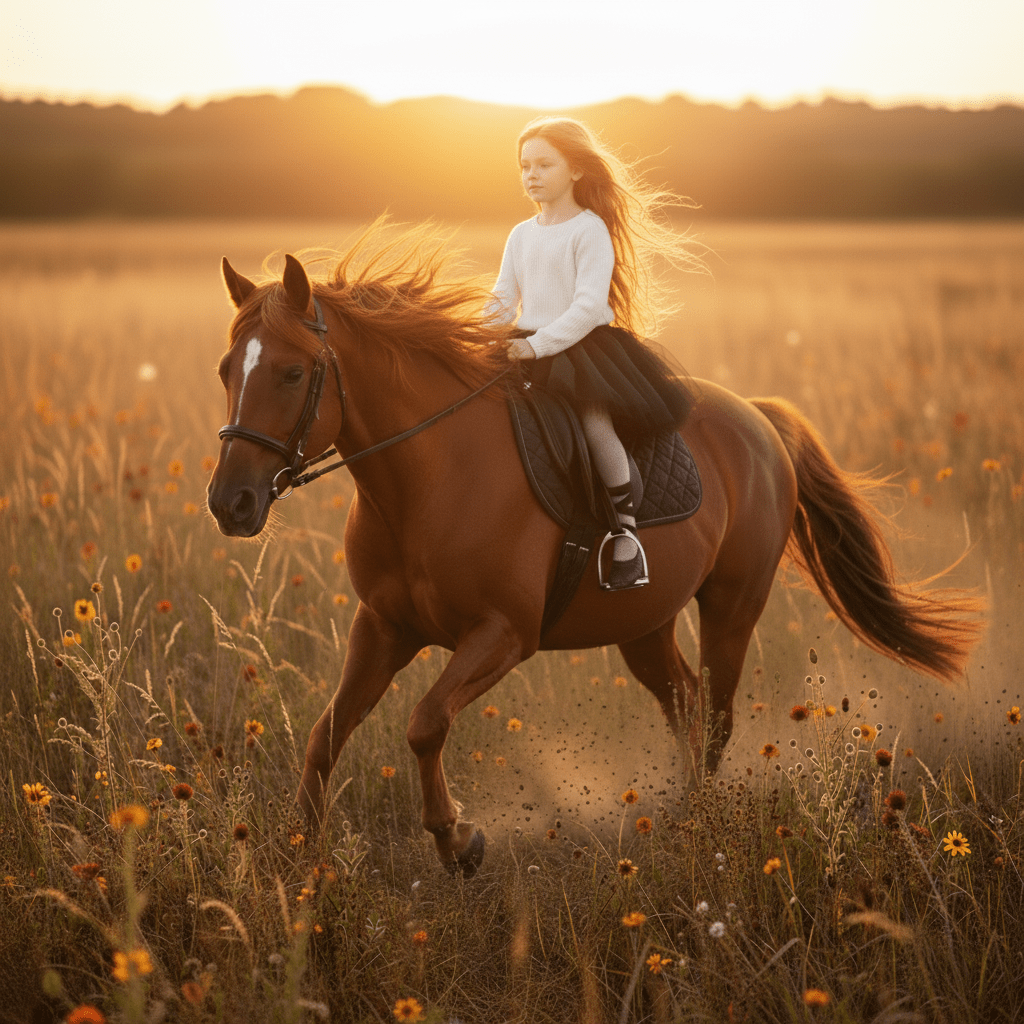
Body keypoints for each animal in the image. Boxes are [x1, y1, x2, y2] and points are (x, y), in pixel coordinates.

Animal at [207, 223, 983, 875]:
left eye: (292, 372)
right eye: (225, 370)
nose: (230, 503)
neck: (431, 478)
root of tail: (759, 420)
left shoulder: (504, 634)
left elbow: (425, 724)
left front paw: (459, 840)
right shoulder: (383, 626)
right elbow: (326, 732)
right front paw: (300, 856)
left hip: (732, 605)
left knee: (716, 717)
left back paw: (695, 827)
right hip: (645, 625)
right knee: (687, 704)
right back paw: (682, 814)